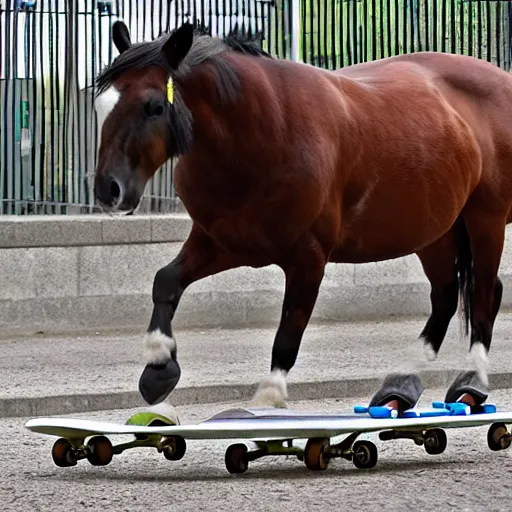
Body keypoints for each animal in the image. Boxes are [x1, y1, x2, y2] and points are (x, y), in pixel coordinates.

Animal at [93, 19, 512, 416]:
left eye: (154, 106)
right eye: (101, 105)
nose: (107, 189)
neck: (260, 134)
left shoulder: (308, 257)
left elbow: (288, 330)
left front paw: (268, 398)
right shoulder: (222, 242)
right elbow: (166, 281)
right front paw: (159, 368)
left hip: (485, 219)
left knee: (483, 293)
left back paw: (472, 384)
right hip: (435, 232)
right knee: (445, 296)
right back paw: (399, 387)